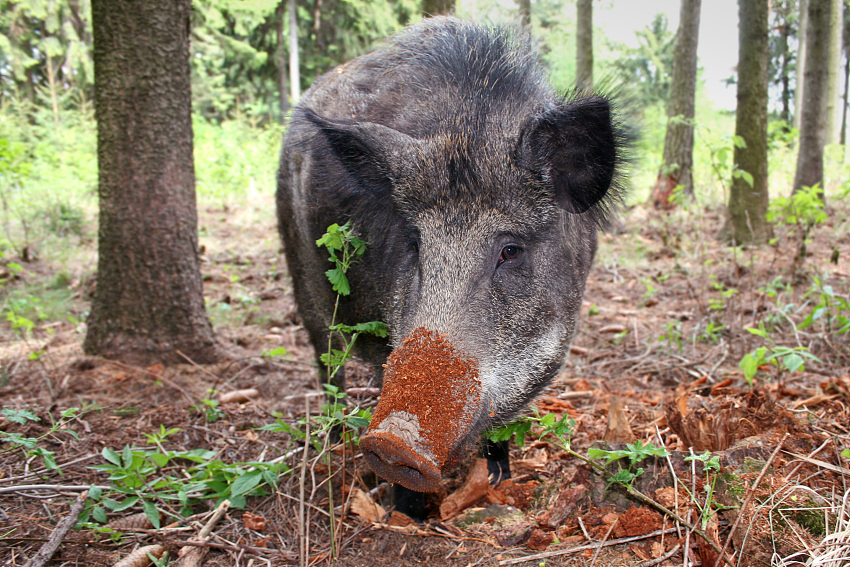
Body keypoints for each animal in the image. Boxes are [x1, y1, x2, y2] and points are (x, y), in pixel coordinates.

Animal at [276, 17, 622, 505]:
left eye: (510, 250)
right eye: (416, 243)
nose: (392, 441)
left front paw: (499, 477)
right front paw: (409, 507)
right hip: (299, 272)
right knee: (327, 360)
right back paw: (335, 440)